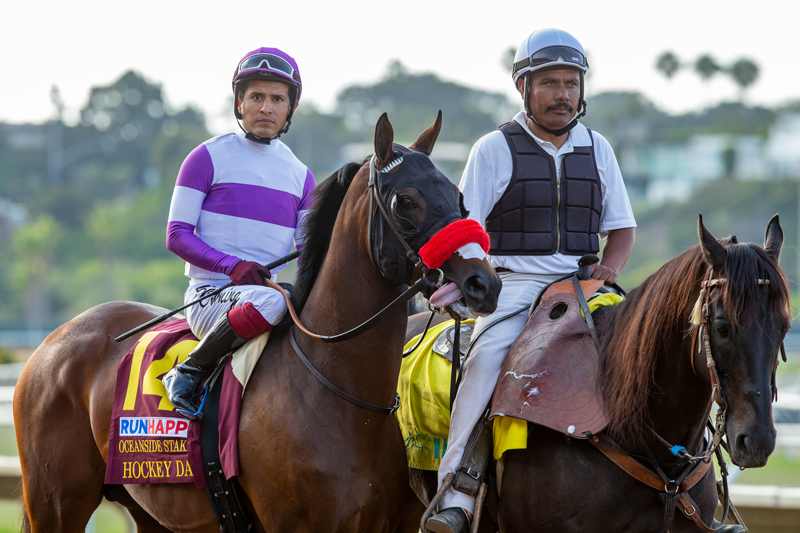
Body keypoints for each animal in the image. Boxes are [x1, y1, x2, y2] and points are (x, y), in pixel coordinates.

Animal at [12, 113, 500, 532]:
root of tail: (50, 343)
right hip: (56, 502)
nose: (484, 283)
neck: (341, 393)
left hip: (150, 509)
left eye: (459, 196)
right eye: (405, 202)